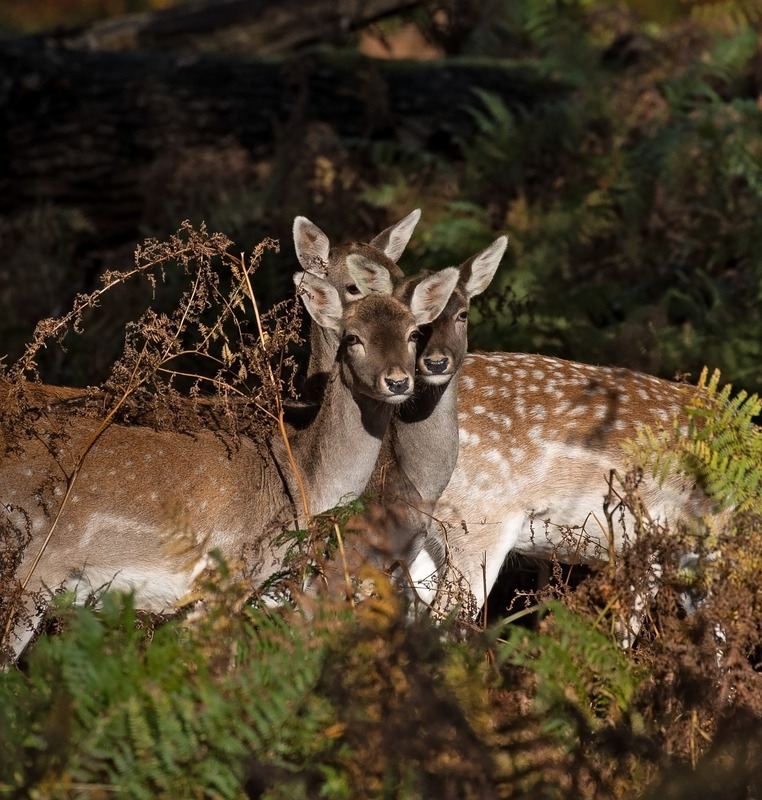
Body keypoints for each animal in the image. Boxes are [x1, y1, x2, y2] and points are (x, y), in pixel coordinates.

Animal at [0, 262, 460, 662]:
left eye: (413, 333)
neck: (298, 484)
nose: (398, 381)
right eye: (352, 338)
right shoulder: (226, 574)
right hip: (27, 571)